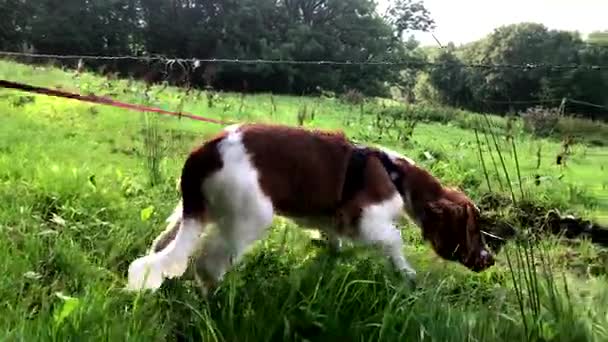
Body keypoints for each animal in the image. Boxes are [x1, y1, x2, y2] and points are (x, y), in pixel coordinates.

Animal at [127, 124, 494, 292]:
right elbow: (394, 241)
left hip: (191, 212)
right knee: (207, 264)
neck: (396, 174)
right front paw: (407, 274)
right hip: (250, 216)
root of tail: (206, 151)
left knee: (164, 243)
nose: (489, 260)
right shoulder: (366, 217)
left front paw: (332, 251)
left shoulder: (333, 216)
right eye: (474, 230)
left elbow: (333, 237)